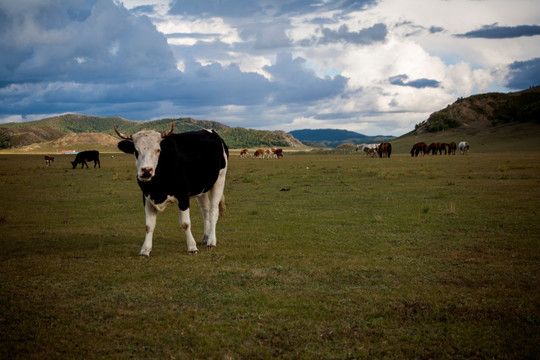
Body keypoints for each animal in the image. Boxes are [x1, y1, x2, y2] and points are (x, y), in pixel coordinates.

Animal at [115, 122, 229, 255]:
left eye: (158, 150)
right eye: (136, 151)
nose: (146, 171)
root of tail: (213, 132)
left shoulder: (183, 196)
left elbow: (185, 223)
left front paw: (192, 247)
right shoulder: (147, 197)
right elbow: (149, 225)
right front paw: (145, 250)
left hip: (219, 179)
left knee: (213, 211)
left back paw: (211, 241)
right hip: (202, 189)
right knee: (205, 211)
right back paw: (205, 238)